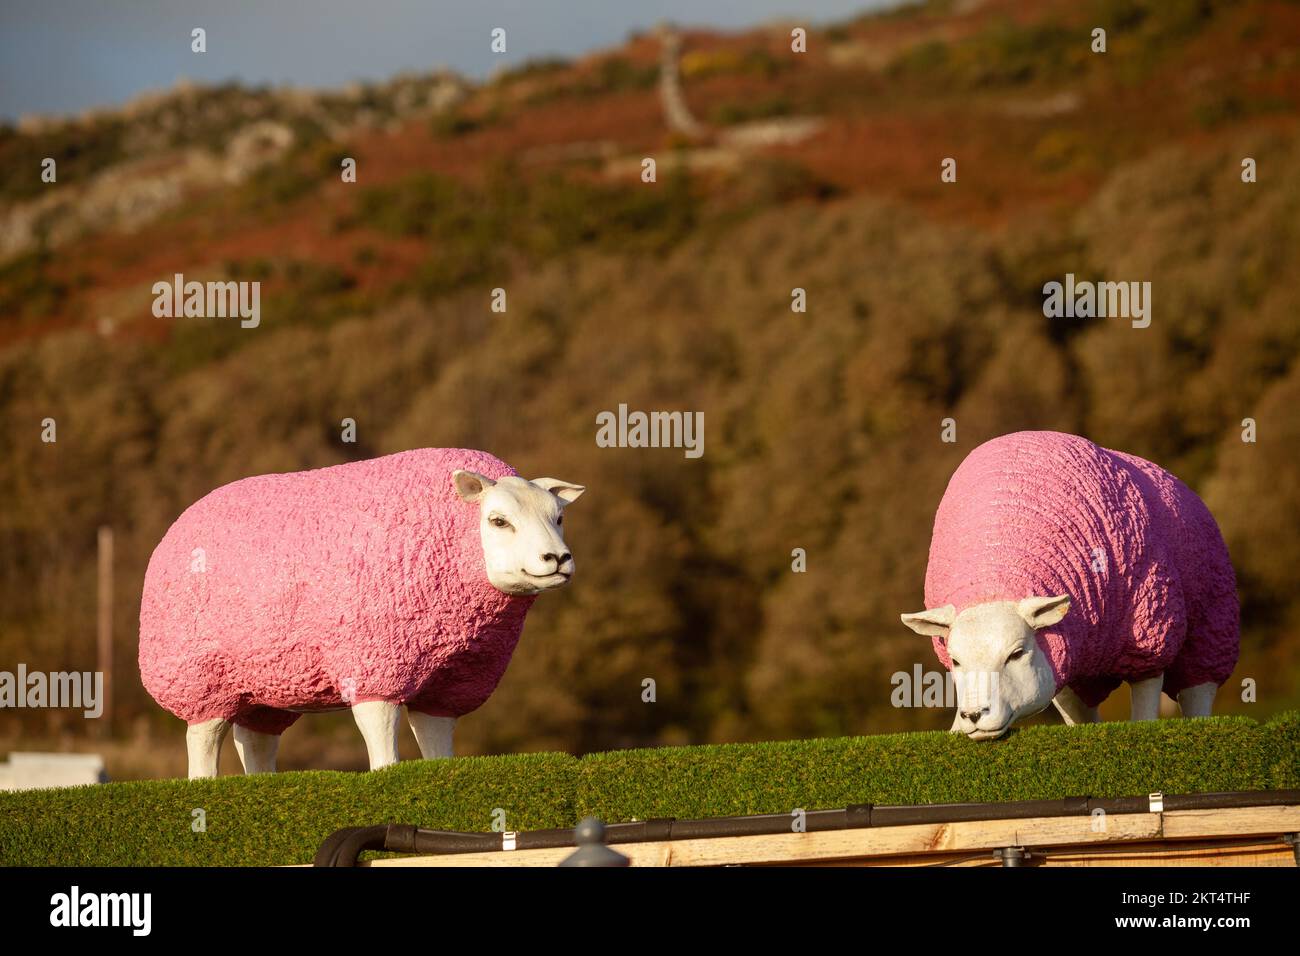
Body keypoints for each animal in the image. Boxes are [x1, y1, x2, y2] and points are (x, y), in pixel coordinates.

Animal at [138, 447, 585, 780]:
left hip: (265, 684)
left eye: (559, 517)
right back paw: (204, 785)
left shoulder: (449, 684)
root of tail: (176, 527)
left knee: (256, 742)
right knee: (203, 741)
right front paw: (386, 778)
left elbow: (437, 744)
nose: (558, 558)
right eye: (498, 521)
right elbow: (381, 740)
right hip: (197, 678)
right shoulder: (374, 665)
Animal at [904, 434, 1237, 738]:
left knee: (1198, 693)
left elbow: (1145, 706)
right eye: (955, 661)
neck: (994, 579)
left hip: (1212, 629)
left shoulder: (1152, 639)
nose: (974, 714)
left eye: (1017, 653)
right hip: (1077, 664)